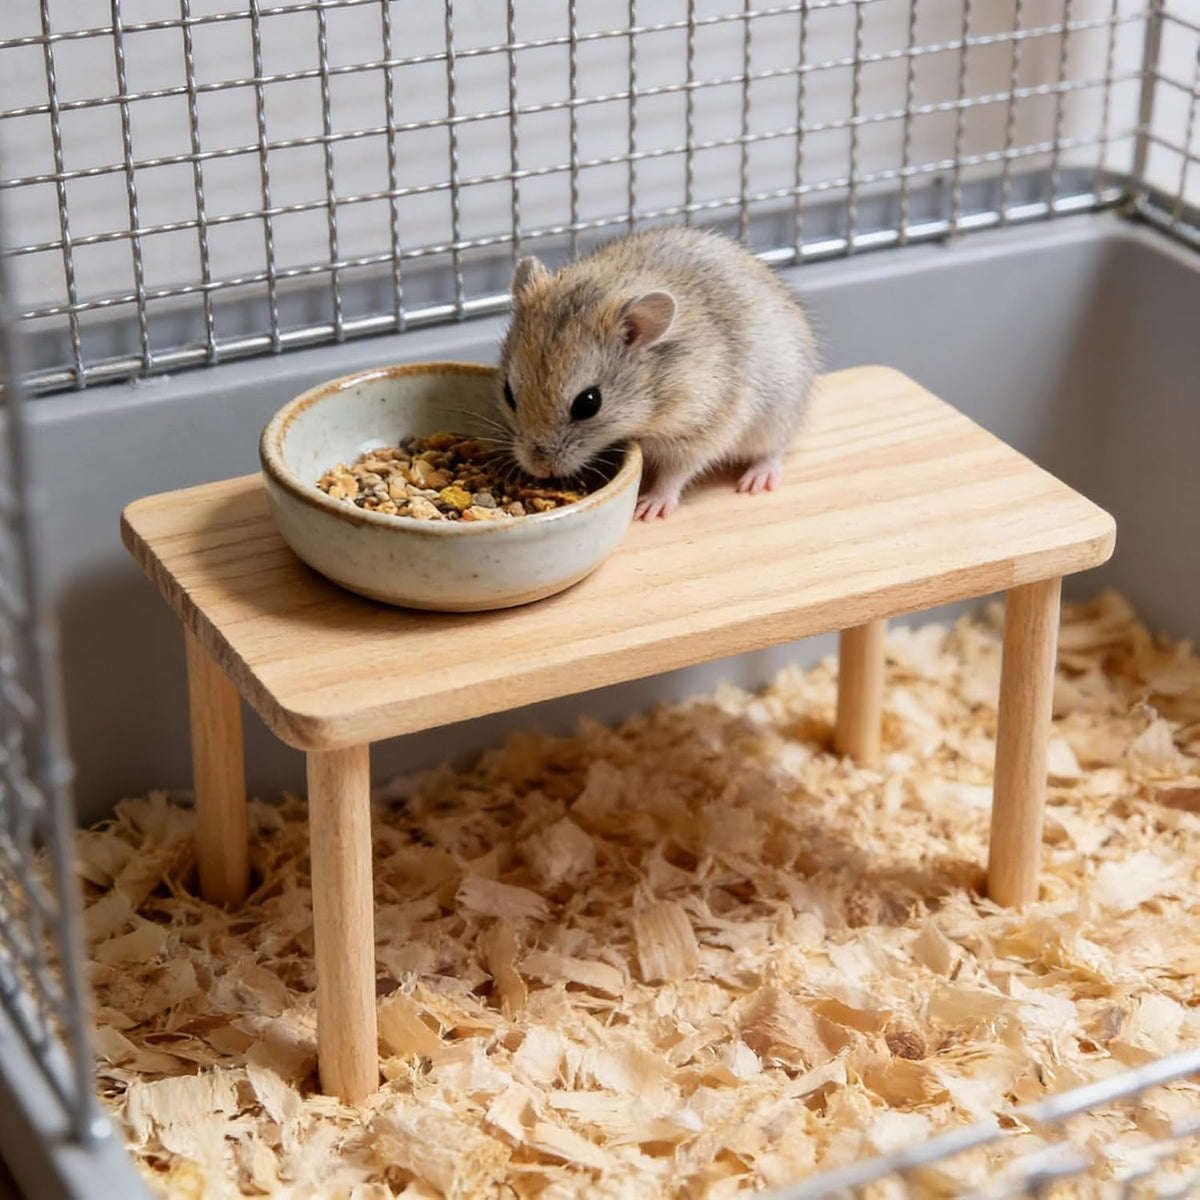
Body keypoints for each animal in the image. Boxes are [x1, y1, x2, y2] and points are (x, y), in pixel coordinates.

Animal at [496, 225, 819, 520]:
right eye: (508, 394)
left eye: (588, 403)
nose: (539, 469)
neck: (654, 387)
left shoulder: (701, 430)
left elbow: (675, 473)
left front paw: (648, 509)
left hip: (776, 415)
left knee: (775, 450)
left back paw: (757, 480)